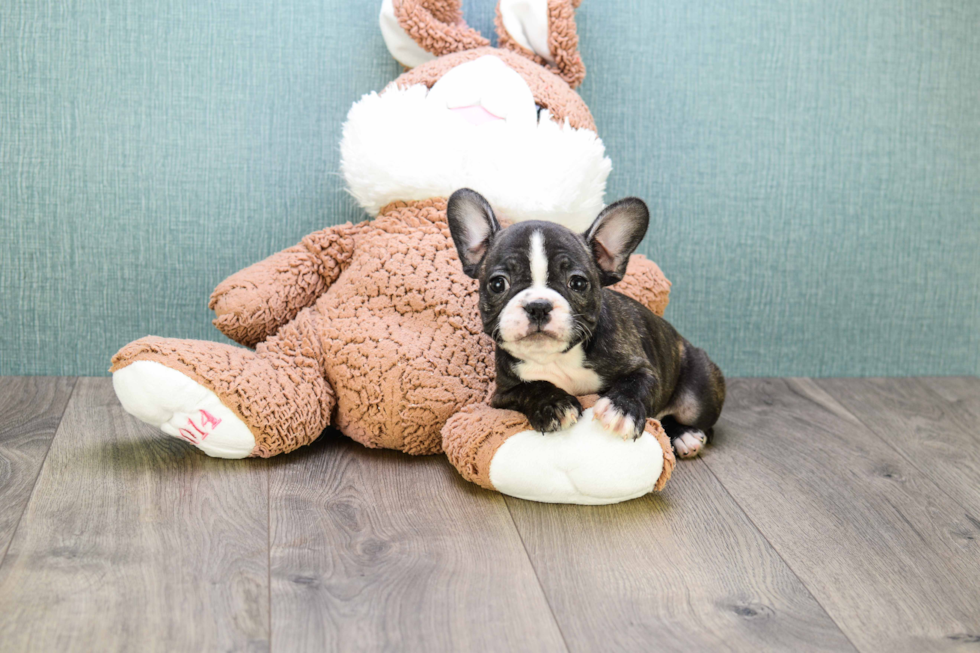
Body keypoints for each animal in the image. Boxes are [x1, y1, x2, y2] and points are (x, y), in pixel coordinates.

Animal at [448, 186, 724, 456]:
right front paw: (554, 404)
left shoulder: (645, 368)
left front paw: (621, 409)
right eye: (497, 284)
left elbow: (636, 384)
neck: (557, 358)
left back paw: (685, 435)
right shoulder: (503, 394)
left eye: (578, 283)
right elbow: (532, 387)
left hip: (699, 392)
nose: (538, 306)